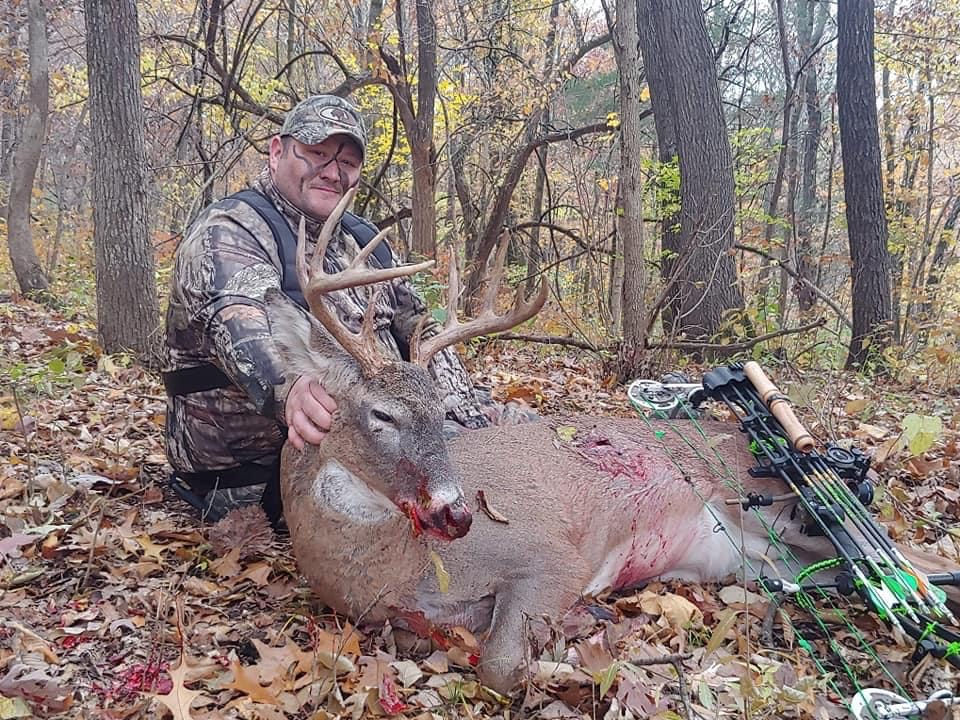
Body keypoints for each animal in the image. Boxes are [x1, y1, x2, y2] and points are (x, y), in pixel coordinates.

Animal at [266, 191, 960, 695]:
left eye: (440, 412)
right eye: (380, 413)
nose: (457, 512)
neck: (391, 568)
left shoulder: (553, 555)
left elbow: (499, 666)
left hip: (775, 509)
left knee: (914, 564)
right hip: (770, 562)